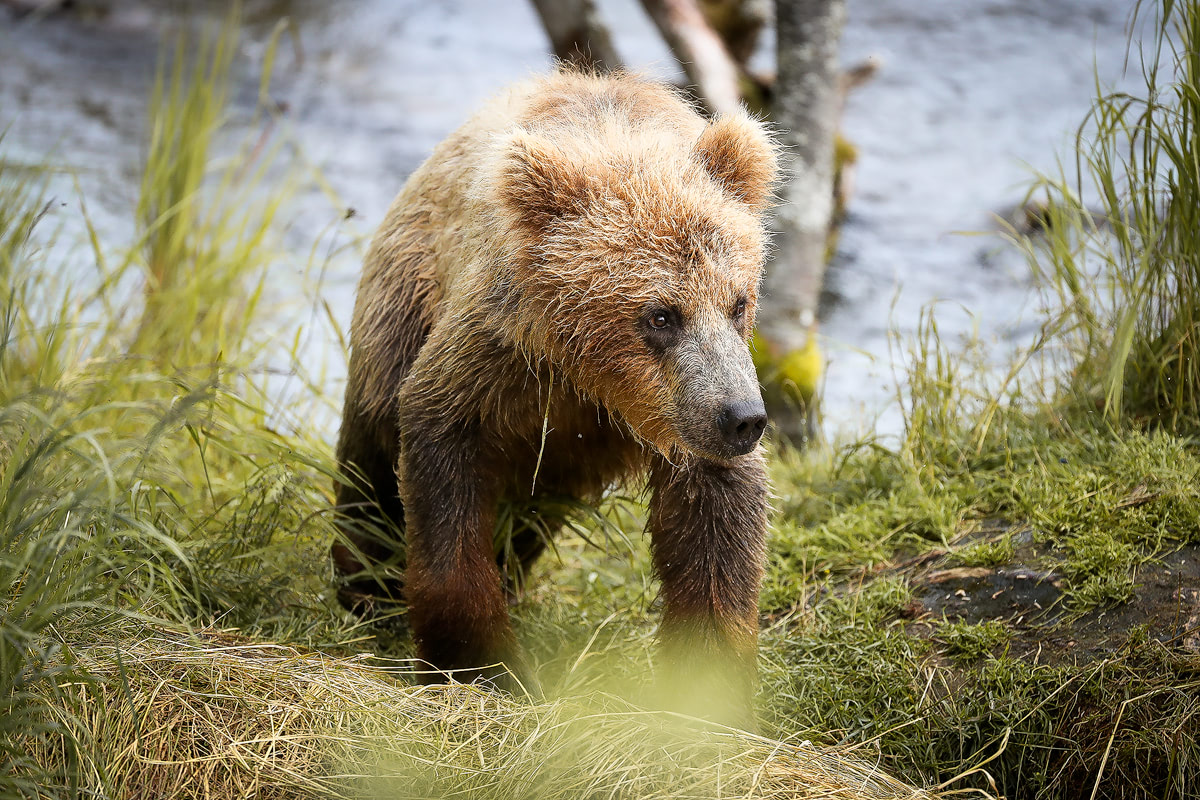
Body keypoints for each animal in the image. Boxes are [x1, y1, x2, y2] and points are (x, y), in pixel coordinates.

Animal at [331, 70, 777, 724]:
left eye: (738, 301)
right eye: (661, 315)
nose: (742, 419)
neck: (593, 380)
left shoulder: (683, 418)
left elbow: (715, 530)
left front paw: (705, 686)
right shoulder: (497, 356)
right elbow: (443, 466)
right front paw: (482, 663)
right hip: (400, 307)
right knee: (371, 454)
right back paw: (365, 580)